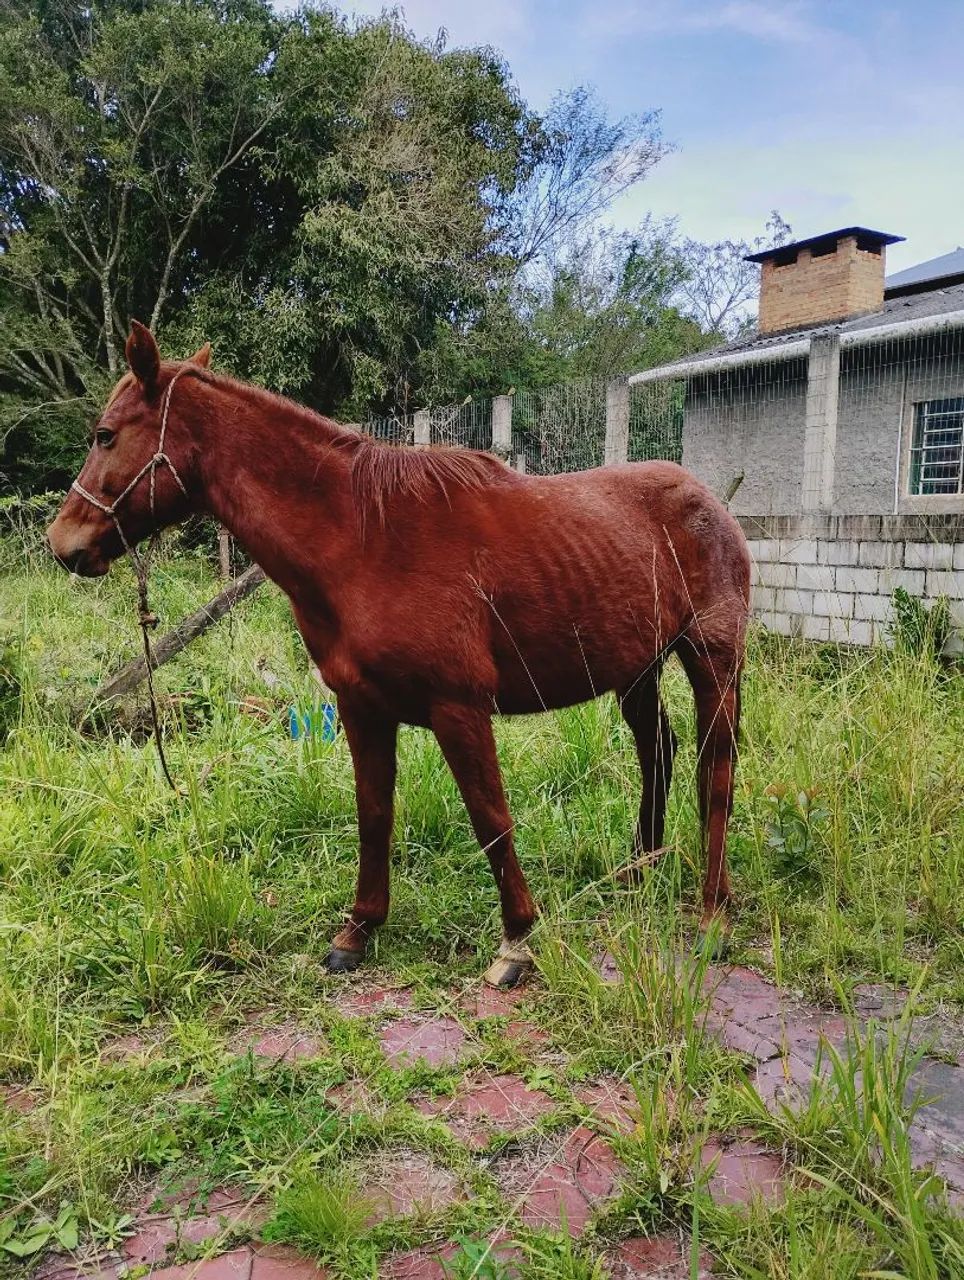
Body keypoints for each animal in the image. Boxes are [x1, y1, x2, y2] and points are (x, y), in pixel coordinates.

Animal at [48, 323, 750, 987]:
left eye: (105, 435)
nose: (62, 543)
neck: (365, 540)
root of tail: (709, 501)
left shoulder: (459, 709)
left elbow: (490, 819)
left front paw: (517, 939)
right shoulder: (362, 709)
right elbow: (374, 813)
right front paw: (358, 931)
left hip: (713, 660)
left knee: (715, 769)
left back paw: (713, 915)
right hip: (637, 669)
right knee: (658, 750)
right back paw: (639, 869)